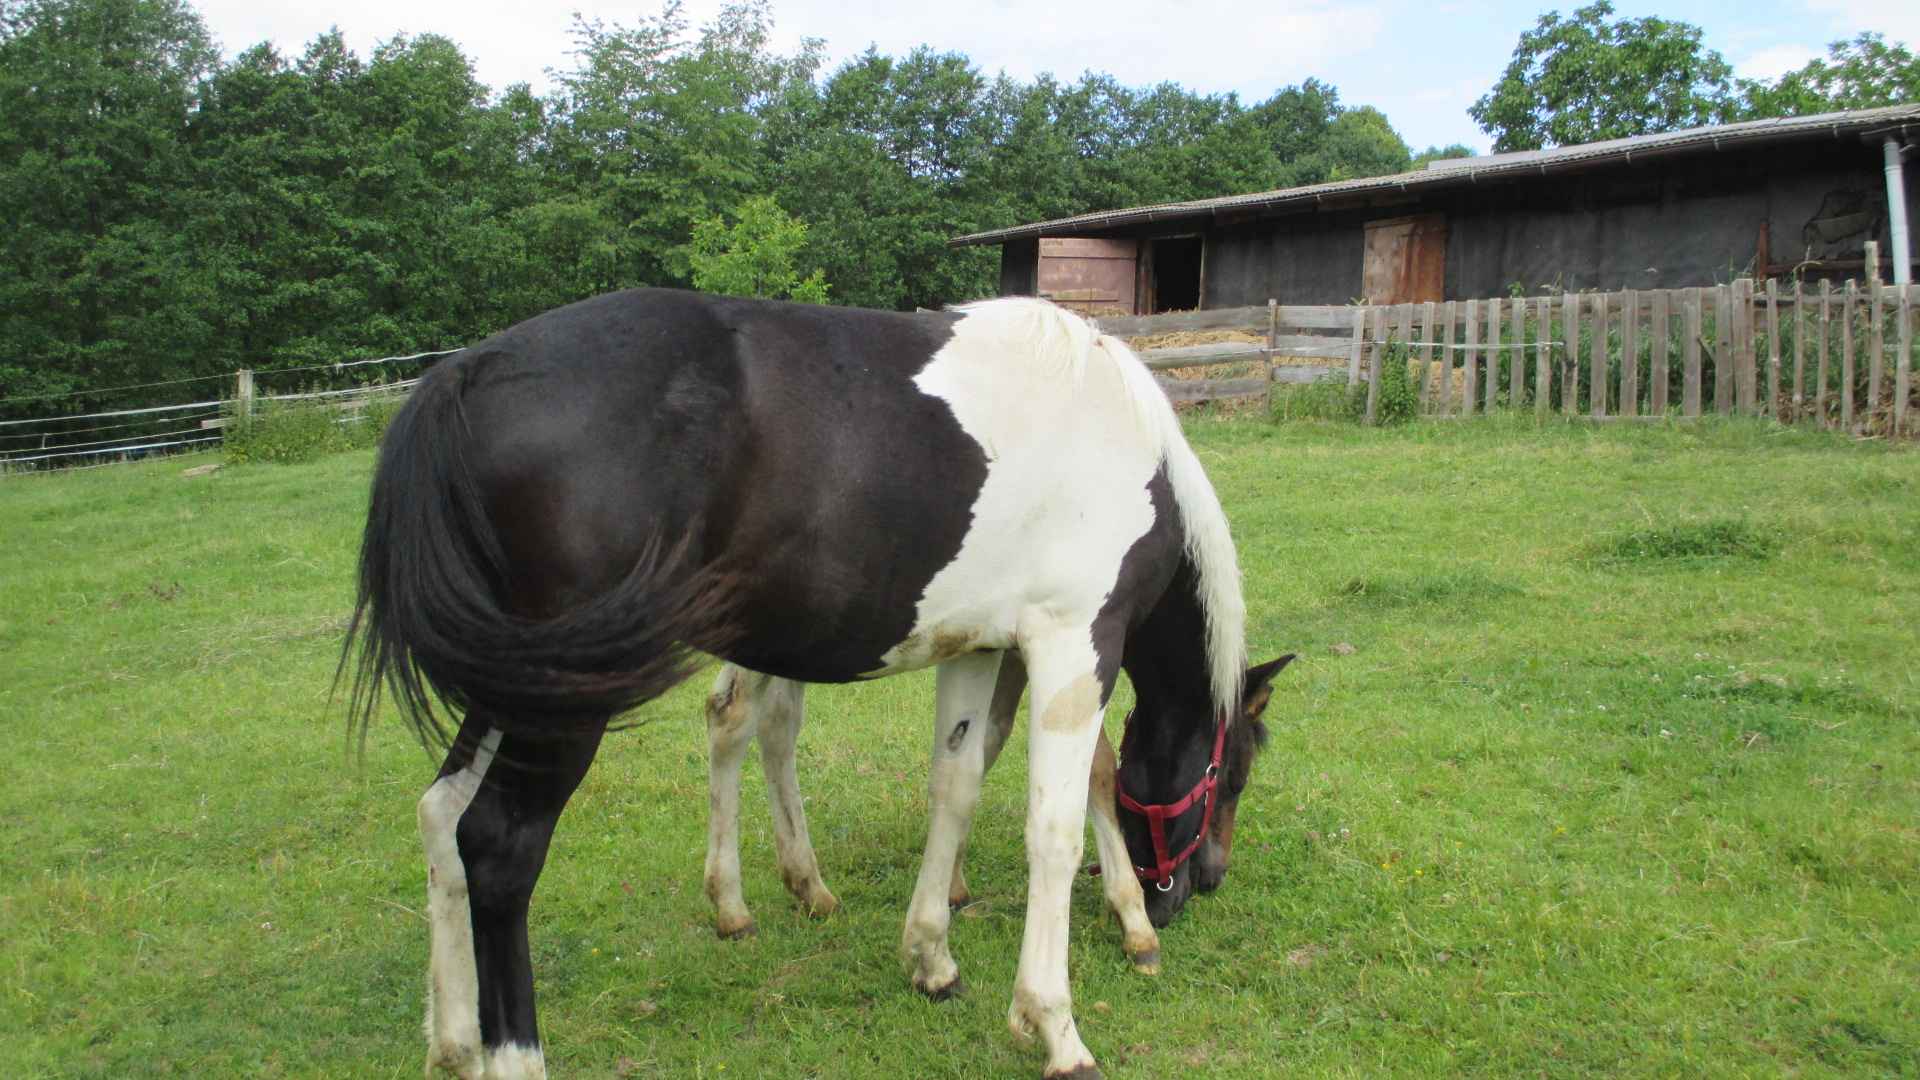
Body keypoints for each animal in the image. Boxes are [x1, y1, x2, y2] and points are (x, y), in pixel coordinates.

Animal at [347, 288, 1290, 1076]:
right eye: (1230, 774)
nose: (1201, 883)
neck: (1124, 441)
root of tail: (466, 374)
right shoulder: (1071, 643)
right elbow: (1054, 829)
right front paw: (1057, 1021)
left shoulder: (978, 650)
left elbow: (955, 786)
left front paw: (931, 955)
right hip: (563, 702)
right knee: (499, 849)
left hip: (517, 684)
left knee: (441, 814)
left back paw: (455, 1040)